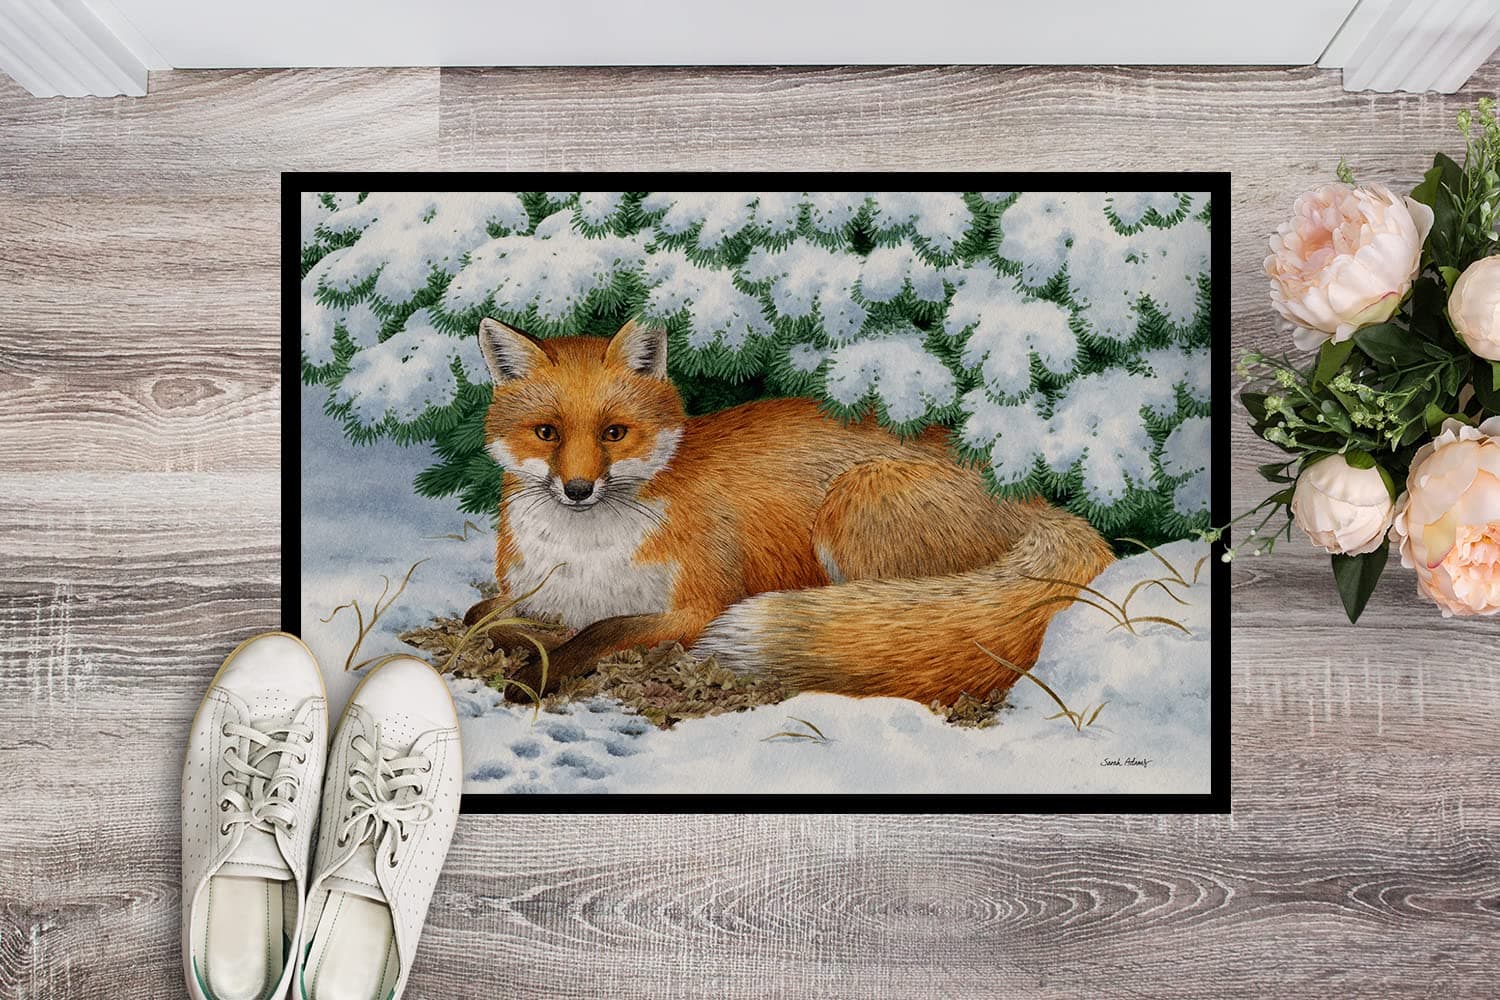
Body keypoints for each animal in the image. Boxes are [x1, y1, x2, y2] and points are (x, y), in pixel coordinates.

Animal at [463, 316, 1115, 706]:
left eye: (614, 433)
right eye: (547, 433)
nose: (577, 489)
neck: (584, 556)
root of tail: (1024, 492)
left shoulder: (699, 609)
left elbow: (601, 631)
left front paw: (534, 675)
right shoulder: (529, 592)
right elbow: (482, 615)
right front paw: (527, 643)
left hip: (853, 504)